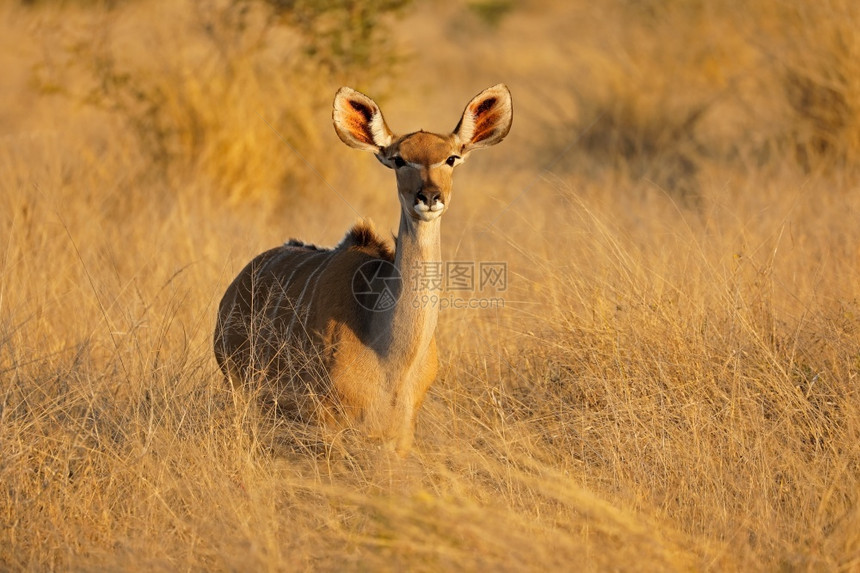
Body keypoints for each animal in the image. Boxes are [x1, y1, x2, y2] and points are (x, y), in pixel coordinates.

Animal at [214, 82, 510, 454]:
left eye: (451, 158)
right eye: (398, 160)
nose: (429, 197)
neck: (392, 359)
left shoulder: (401, 433)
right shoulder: (327, 421)